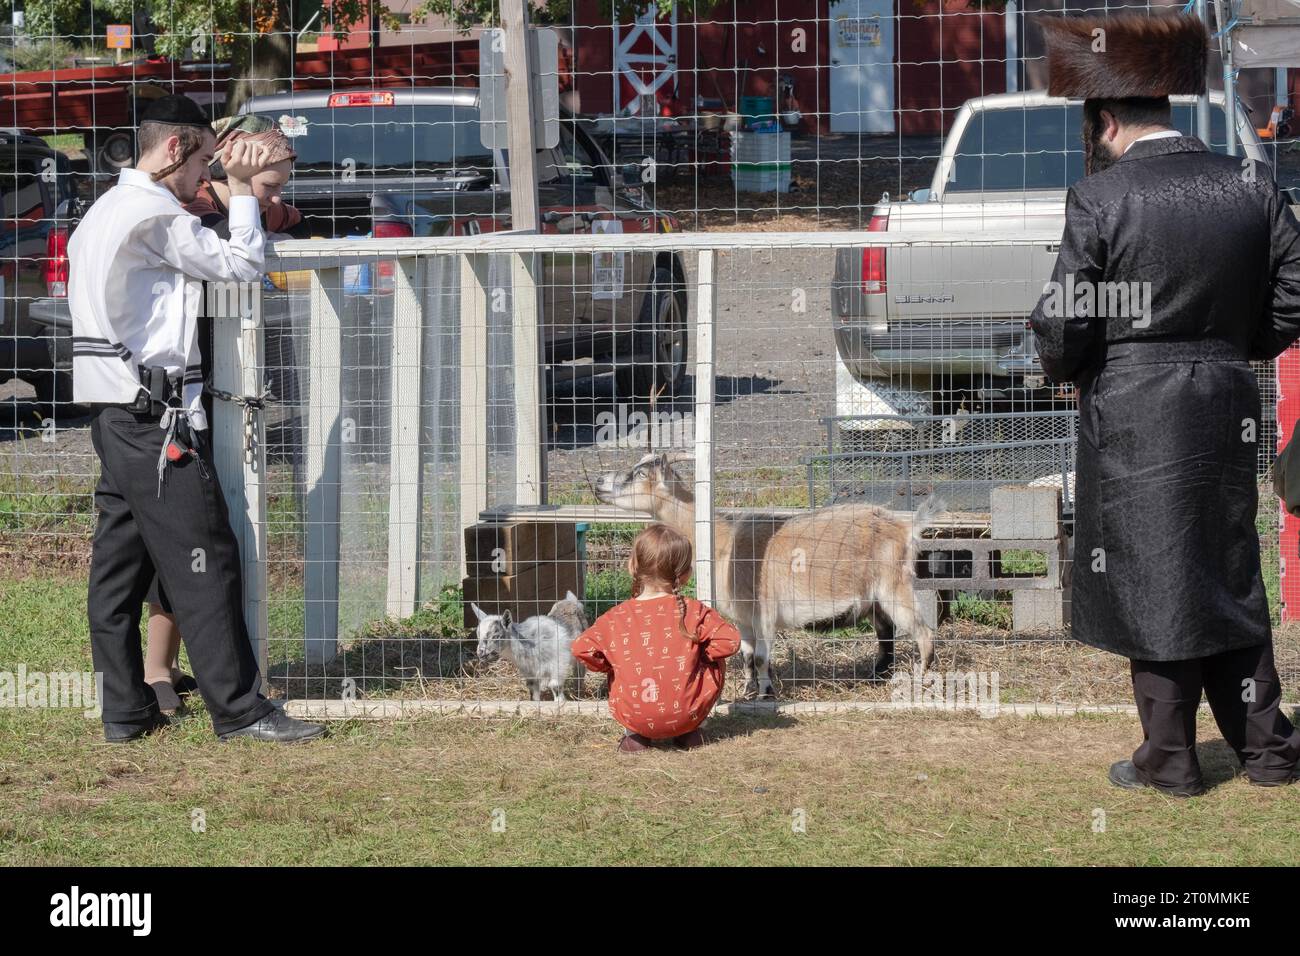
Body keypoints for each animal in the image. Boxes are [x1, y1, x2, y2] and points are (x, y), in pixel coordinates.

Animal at [592, 452, 946, 697]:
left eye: (638, 473)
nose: (597, 482)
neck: (723, 543)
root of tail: (906, 527)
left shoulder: (765, 613)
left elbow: (762, 657)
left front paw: (767, 693)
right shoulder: (744, 618)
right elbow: (749, 656)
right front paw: (750, 690)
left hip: (895, 585)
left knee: (923, 632)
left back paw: (921, 680)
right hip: (874, 596)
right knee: (885, 632)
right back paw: (877, 675)